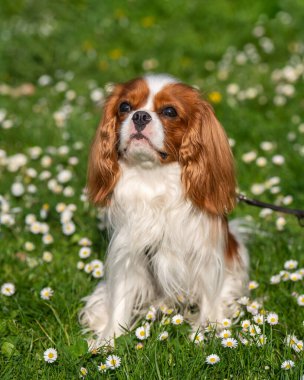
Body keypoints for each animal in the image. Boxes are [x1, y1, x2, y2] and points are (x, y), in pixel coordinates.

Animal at [79, 75, 248, 348]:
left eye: (170, 112)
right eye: (124, 107)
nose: (140, 116)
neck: (153, 177)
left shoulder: (205, 255)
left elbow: (209, 298)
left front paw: (205, 333)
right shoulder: (129, 253)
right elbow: (121, 300)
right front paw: (108, 341)